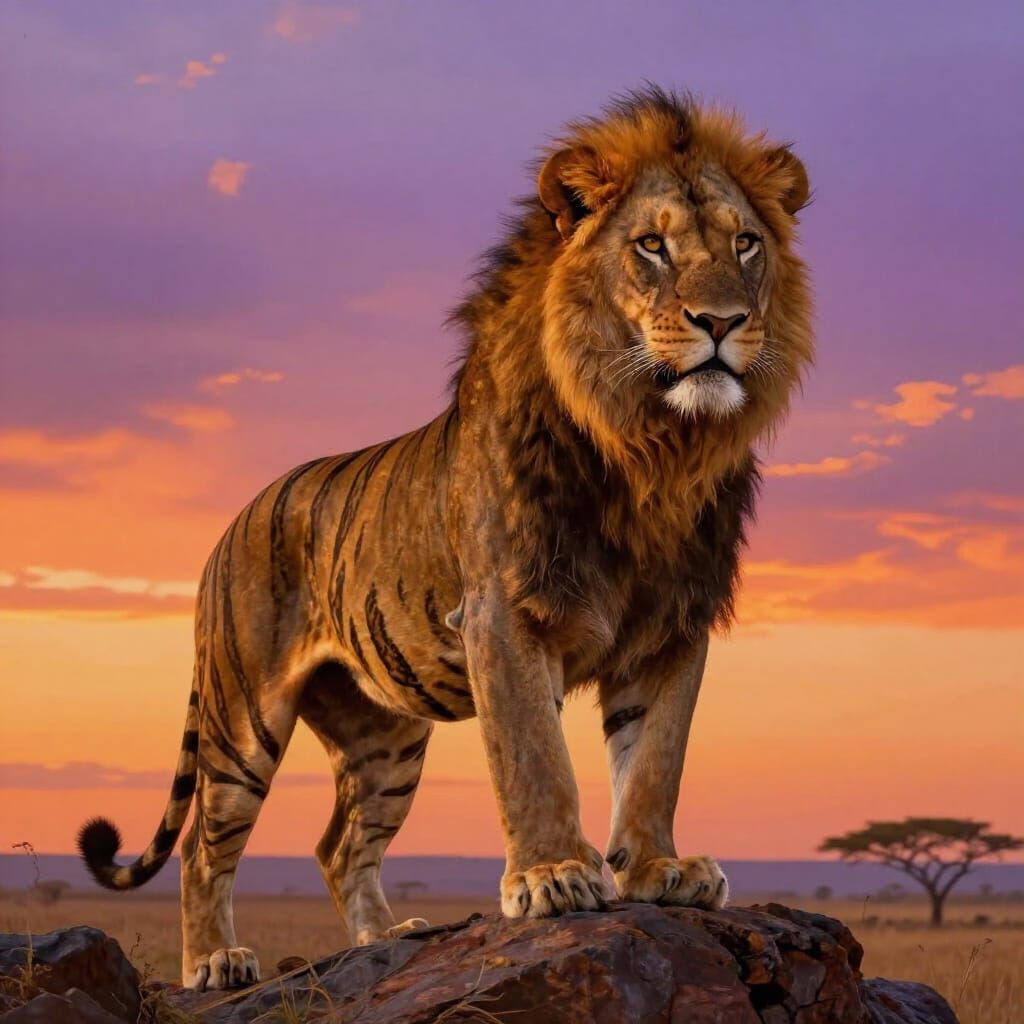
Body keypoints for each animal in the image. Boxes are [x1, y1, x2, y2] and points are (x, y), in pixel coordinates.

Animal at [78, 87, 812, 990]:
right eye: (651, 245)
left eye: (746, 244)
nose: (723, 320)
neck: (651, 450)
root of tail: (232, 522)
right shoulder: (503, 613)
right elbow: (534, 757)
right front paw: (553, 876)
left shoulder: (674, 628)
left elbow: (654, 763)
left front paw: (657, 870)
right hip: (242, 716)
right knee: (201, 847)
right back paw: (216, 962)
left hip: (385, 739)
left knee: (338, 845)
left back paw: (383, 940)